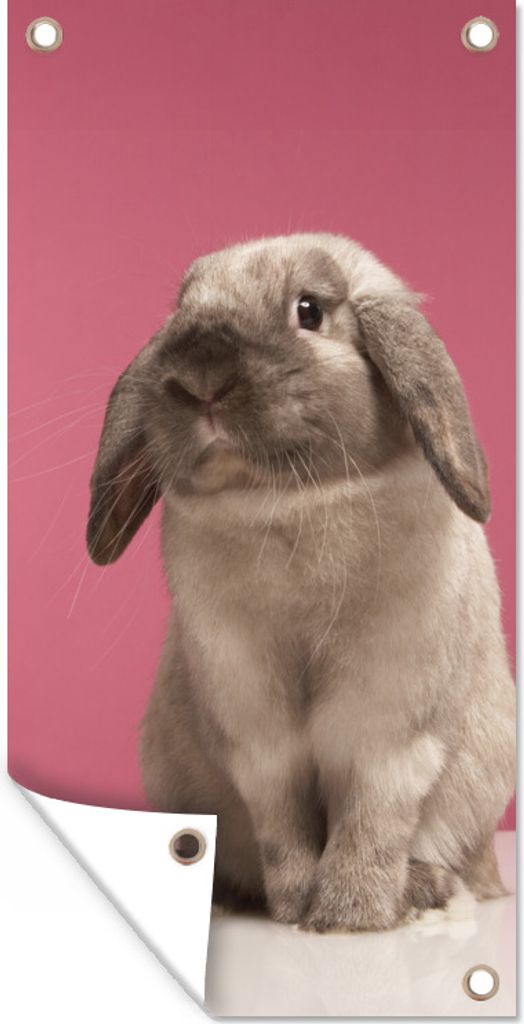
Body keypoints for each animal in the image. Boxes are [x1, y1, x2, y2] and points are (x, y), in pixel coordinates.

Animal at [87, 233, 515, 932]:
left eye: (308, 310)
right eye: (182, 308)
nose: (200, 379)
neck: (289, 504)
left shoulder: (390, 726)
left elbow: (373, 812)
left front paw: (348, 915)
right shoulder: (255, 732)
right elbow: (282, 821)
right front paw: (292, 907)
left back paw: (425, 892)